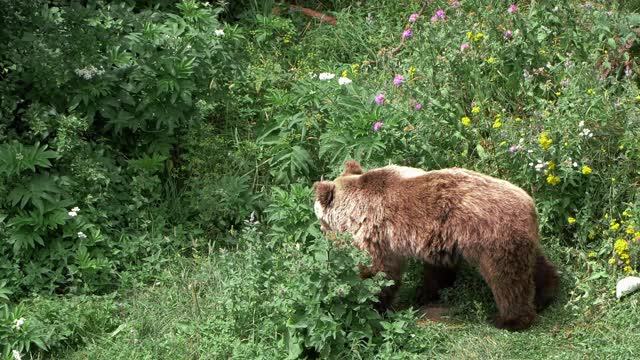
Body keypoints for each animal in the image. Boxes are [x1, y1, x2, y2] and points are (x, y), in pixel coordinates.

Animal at [316, 160, 560, 332]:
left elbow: (381, 272)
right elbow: (437, 268)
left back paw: (509, 320)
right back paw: (545, 295)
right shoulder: (437, 237)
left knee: (507, 280)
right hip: (519, 236)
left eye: (320, 218)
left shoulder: (378, 233)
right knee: (534, 264)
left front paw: (374, 304)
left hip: (491, 238)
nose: (322, 232)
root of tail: (528, 202)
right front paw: (426, 293)